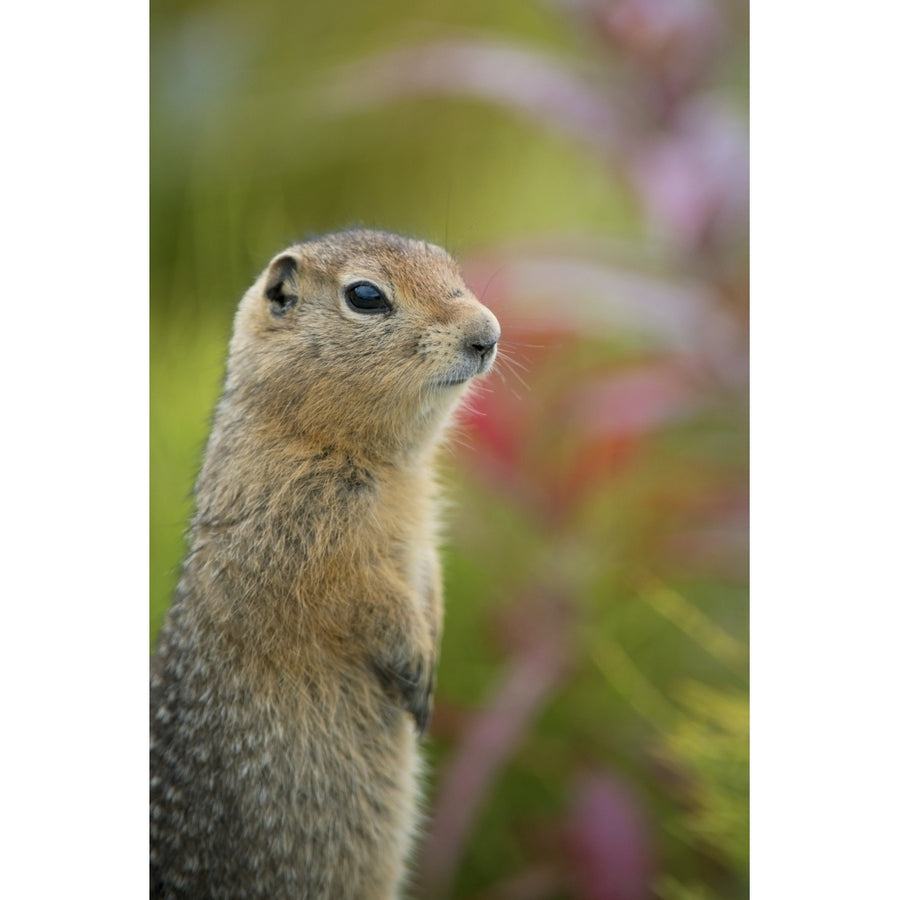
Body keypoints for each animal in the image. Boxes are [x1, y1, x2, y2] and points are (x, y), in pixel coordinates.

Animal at [148, 232, 500, 900]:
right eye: (365, 295)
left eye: (451, 267)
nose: (488, 334)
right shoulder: (298, 532)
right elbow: (352, 594)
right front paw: (416, 665)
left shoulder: (421, 531)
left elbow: (426, 580)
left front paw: (430, 652)